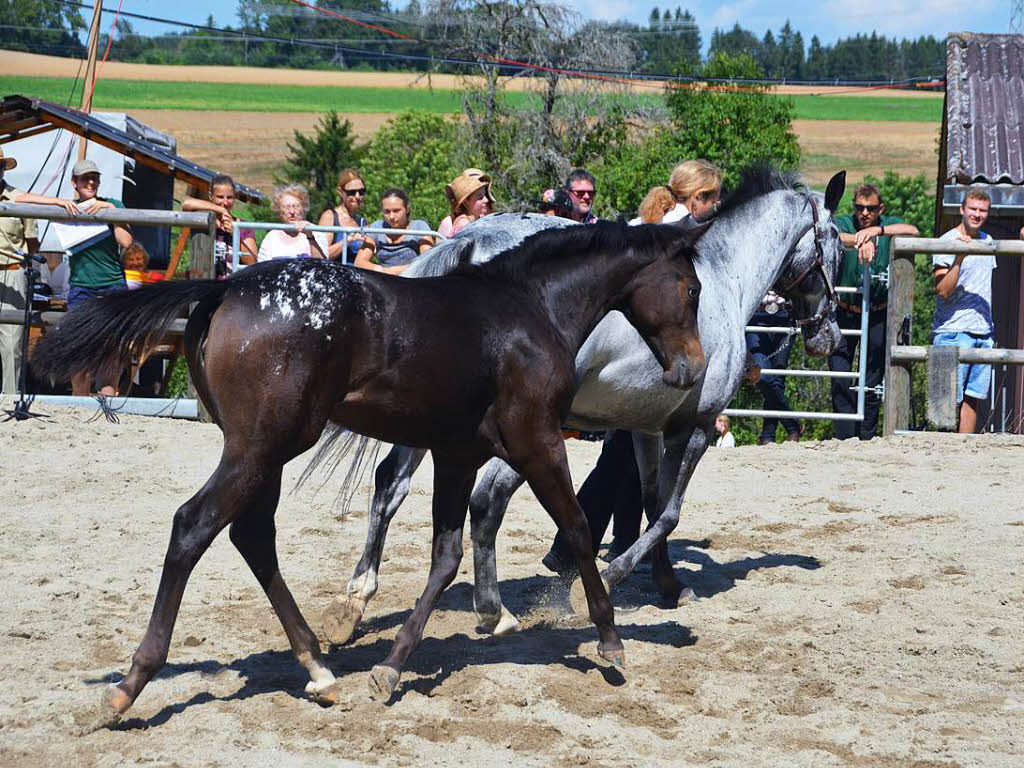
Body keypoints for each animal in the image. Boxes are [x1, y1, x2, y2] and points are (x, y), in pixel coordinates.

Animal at [29, 221, 704, 729]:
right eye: (693, 288)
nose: (692, 370)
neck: (531, 307)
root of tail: (224, 289)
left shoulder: (456, 453)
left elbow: (446, 557)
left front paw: (391, 668)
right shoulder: (537, 442)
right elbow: (579, 528)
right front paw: (610, 641)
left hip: (263, 451)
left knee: (253, 537)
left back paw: (318, 669)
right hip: (262, 446)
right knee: (193, 527)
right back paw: (127, 688)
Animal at [323, 167, 843, 643]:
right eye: (837, 243)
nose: (829, 335)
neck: (725, 275)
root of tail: (470, 242)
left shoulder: (645, 428)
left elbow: (652, 501)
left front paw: (668, 583)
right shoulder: (694, 426)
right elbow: (670, 512)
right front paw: (611, 579)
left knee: (392, 484)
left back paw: (354, 604)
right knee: (486, 499)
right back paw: (494, 611)